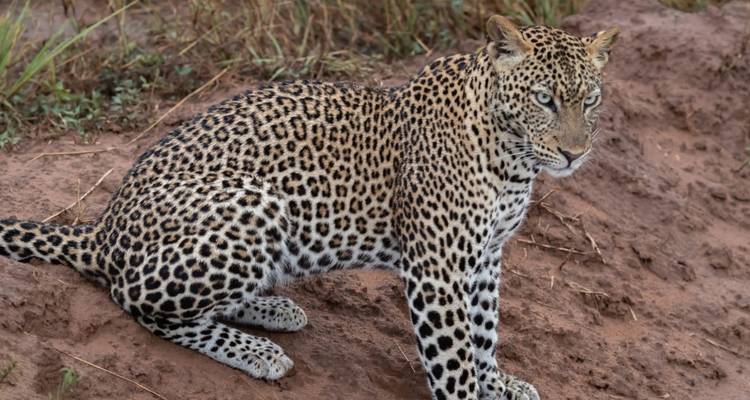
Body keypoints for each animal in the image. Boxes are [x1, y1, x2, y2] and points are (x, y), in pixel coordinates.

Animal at [0, 16, 618, 400]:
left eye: (590, 101)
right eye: (544, 100)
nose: (574, 153)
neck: (513, 160)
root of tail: (103, 226)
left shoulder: (486, 257)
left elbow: (485, 333)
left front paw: (498, 383)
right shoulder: (438, 267)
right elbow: (453, 354)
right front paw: (471, 390)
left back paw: (272, 309)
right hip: (254, 205)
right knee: (136, 299)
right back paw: (255, 350)